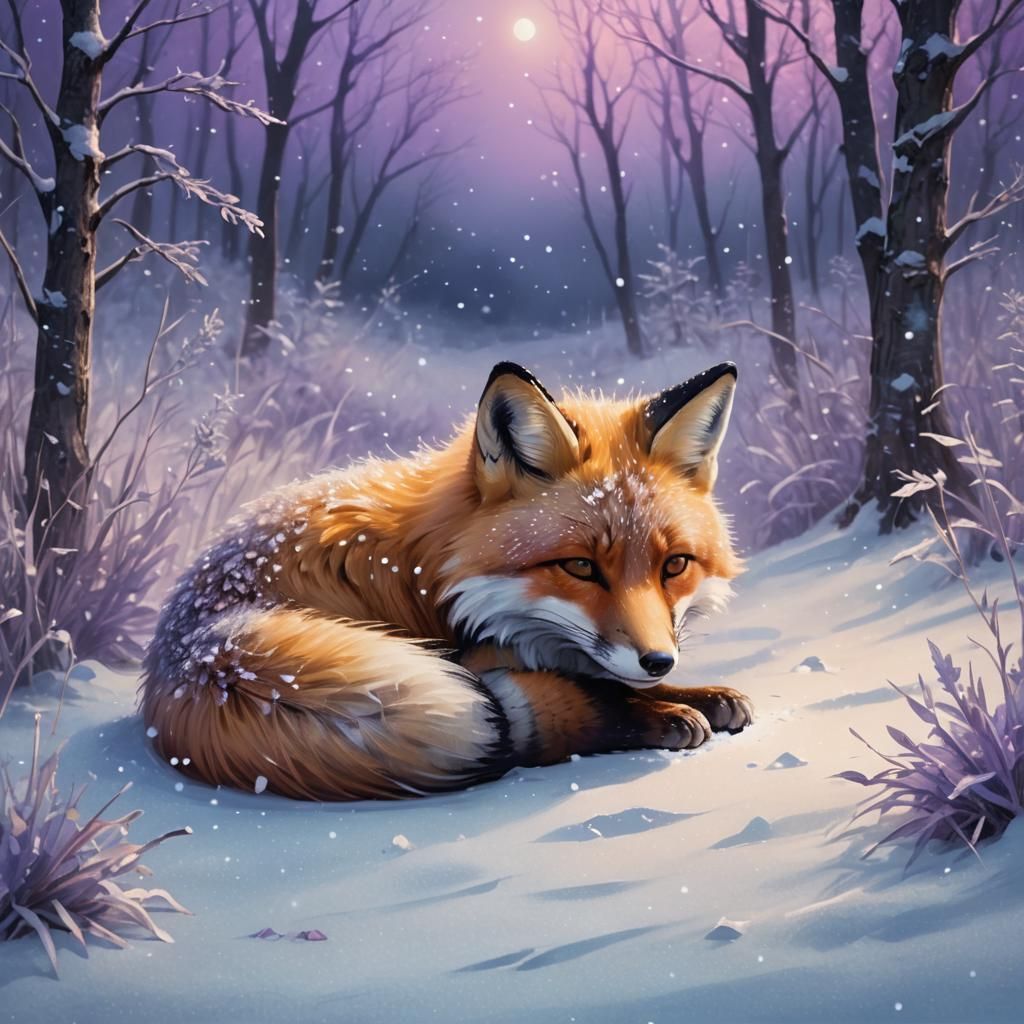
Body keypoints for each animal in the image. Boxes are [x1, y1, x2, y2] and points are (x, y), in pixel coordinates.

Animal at [141, 360, 752, 800]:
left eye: (674, 566)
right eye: (580, 566)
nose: (659, 661)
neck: (432, 571)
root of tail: (193, 652)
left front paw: (699, 694)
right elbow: (595, 688)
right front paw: (667, 709)